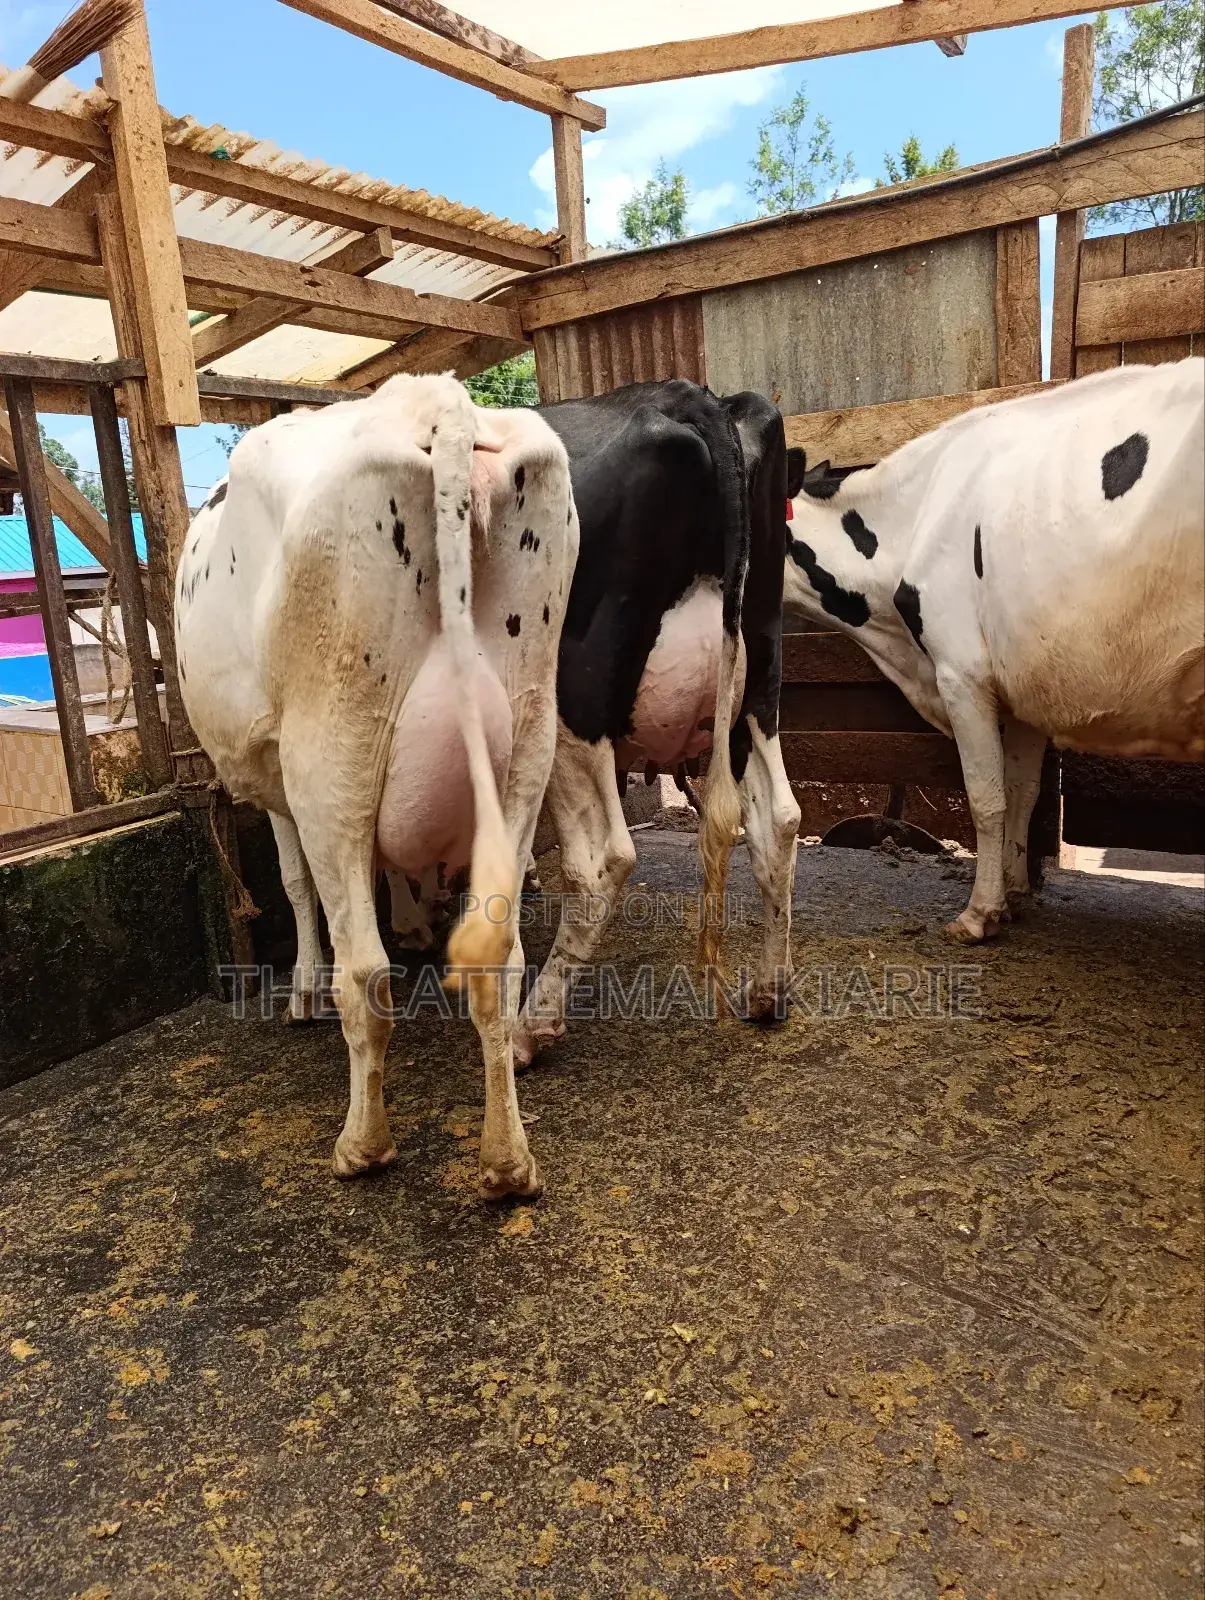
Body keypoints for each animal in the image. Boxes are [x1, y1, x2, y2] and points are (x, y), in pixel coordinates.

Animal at [175, 373, 578, 1196]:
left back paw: (362, 1143)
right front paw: (416, 917)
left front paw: (301, 988)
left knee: (364, 974)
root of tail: (437, 401)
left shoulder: (278, 772)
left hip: (333, 749)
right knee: (500, 961)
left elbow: (294, 881)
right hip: (529, 738)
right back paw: (507, 1161)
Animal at [511, 378, 802, 1064]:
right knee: (778, 819)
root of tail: (690, 396)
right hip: (757, 675)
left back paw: (530, 1027)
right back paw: (769, 992)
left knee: (603, 861)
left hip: (570, 696)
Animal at [781, 358, 1205, 942]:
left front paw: (979, 914)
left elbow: (986, 798)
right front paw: (1015, 892)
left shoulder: (962, 674)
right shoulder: (1028, 683)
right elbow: (1022, 792)